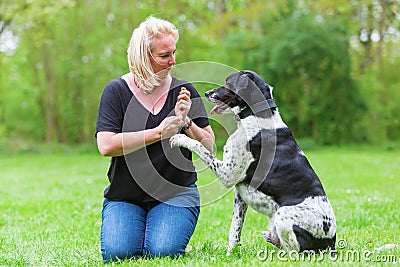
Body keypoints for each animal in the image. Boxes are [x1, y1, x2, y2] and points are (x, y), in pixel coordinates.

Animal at [170, 70, 336, 255]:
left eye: (229, 83)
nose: (207, 93)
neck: (255, 117)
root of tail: (331, 243)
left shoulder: (228, 174)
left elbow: (198, 146)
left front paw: (179, 138)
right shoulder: (240, 194)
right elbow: (235, 230)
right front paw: (230, 255)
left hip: (283, 214)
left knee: (294, 251)